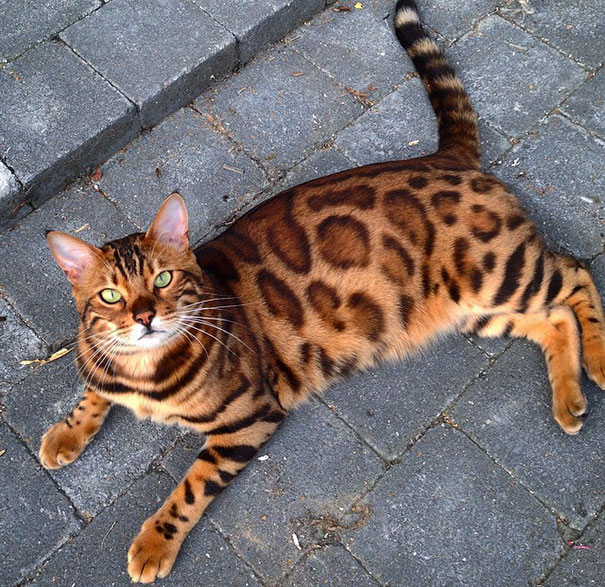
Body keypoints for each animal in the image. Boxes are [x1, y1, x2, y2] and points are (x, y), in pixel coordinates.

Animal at [39, 0, 604, 584]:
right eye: (110, 296)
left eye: (163, 280)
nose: (146, 316)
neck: (143, 373)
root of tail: (444, 159)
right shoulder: (103, 363)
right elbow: (92, 391)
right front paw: (65, 433)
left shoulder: (249, 418)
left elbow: (190, 489)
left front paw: (154, 543)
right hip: (476, 306)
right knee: (554, 318)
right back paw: (569, 400)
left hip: (499, 273)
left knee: (577, 276)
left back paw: (600, 364)